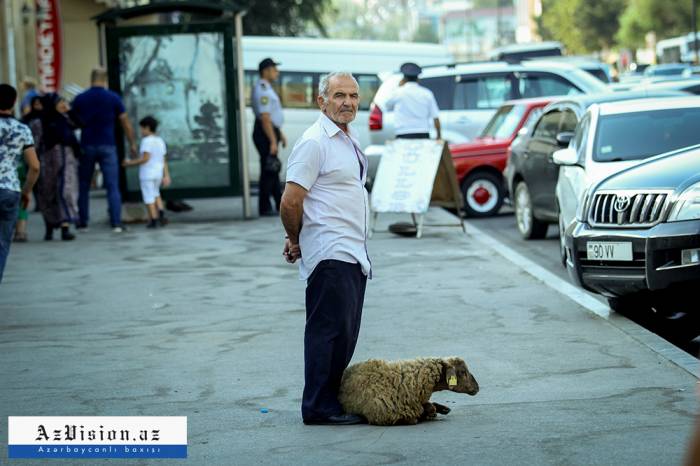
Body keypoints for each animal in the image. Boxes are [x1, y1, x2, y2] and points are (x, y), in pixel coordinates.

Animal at [336, 356, 478, 426]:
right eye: (463, 372)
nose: (477, 387)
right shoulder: (387, 415)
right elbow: (424, 412)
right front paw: (429, 413)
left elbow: (429, 407)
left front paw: (437, 410)